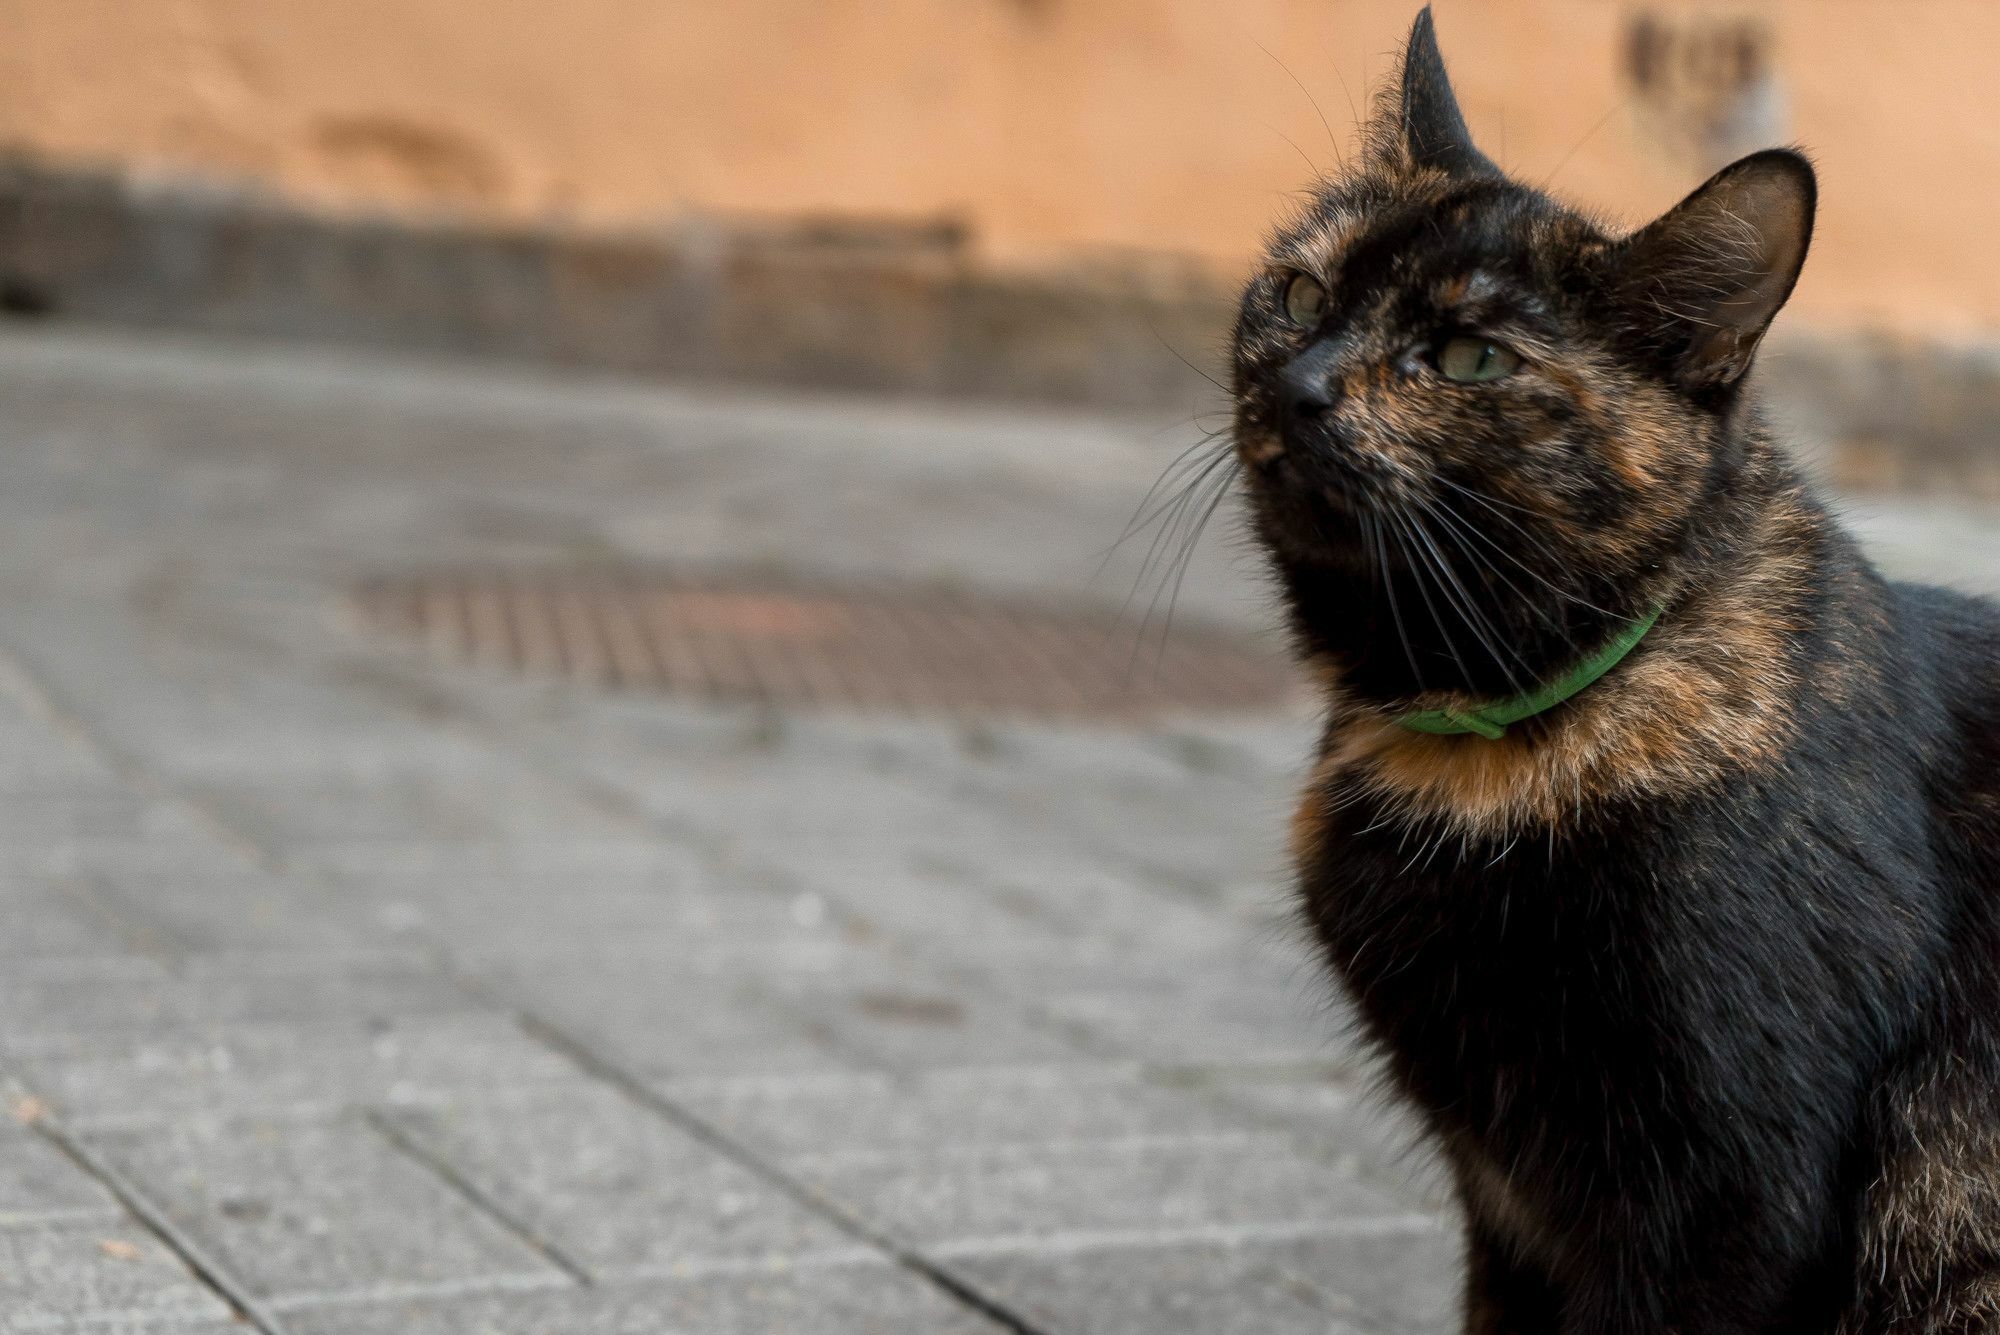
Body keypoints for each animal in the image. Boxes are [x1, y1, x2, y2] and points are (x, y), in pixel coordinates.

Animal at [1232, 13, 2000, 1335]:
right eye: (1298, 290)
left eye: (1468, 357)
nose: (1300, 382)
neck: (1486, 754)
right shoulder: (1508, 1214)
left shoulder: (1727, 1200)